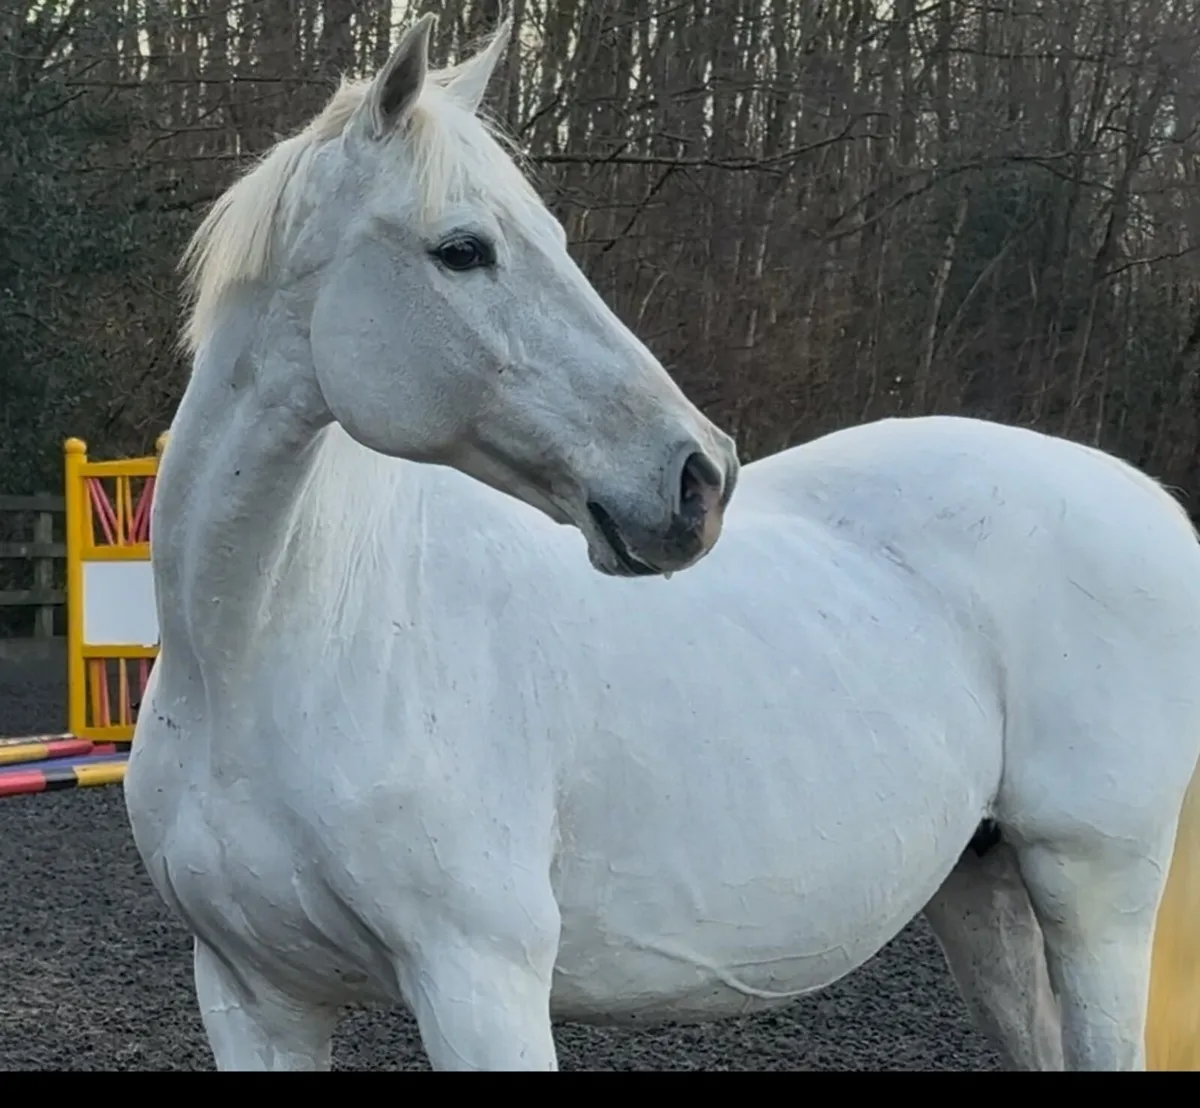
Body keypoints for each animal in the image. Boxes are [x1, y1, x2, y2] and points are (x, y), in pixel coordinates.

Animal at [124, 15, 1200, 1071]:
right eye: (463, 249)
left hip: (1094, 892)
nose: (697, 478)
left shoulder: (481, 985)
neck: (271, 649)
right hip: (984, 888)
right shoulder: (256, 998)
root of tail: (1149, 502)